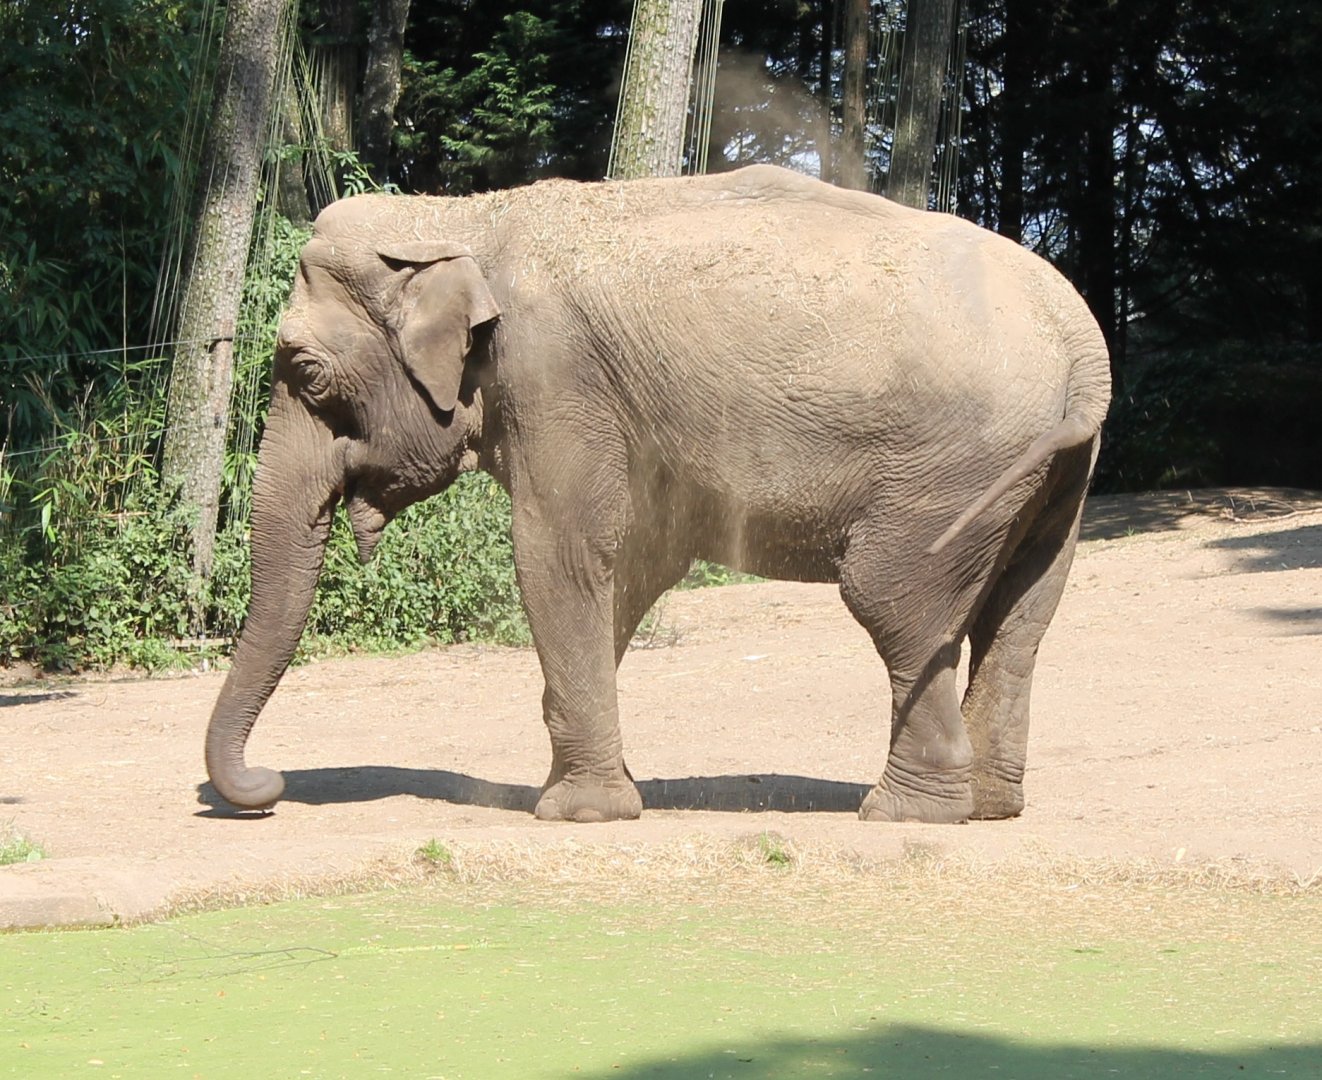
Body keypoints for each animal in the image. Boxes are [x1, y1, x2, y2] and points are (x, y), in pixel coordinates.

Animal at [203, 163, 1110, 824]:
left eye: (308, 373)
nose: (266, 790)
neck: (465, 217)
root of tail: (1082, 338)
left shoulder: (556, 378)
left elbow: (562, 553)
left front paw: (575, 813)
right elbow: (633, 566)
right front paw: (599, 788)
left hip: (952, 468)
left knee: (891, 596)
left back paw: (903, 814)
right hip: (1053, 476)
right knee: (1020, 620)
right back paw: (989, 808)